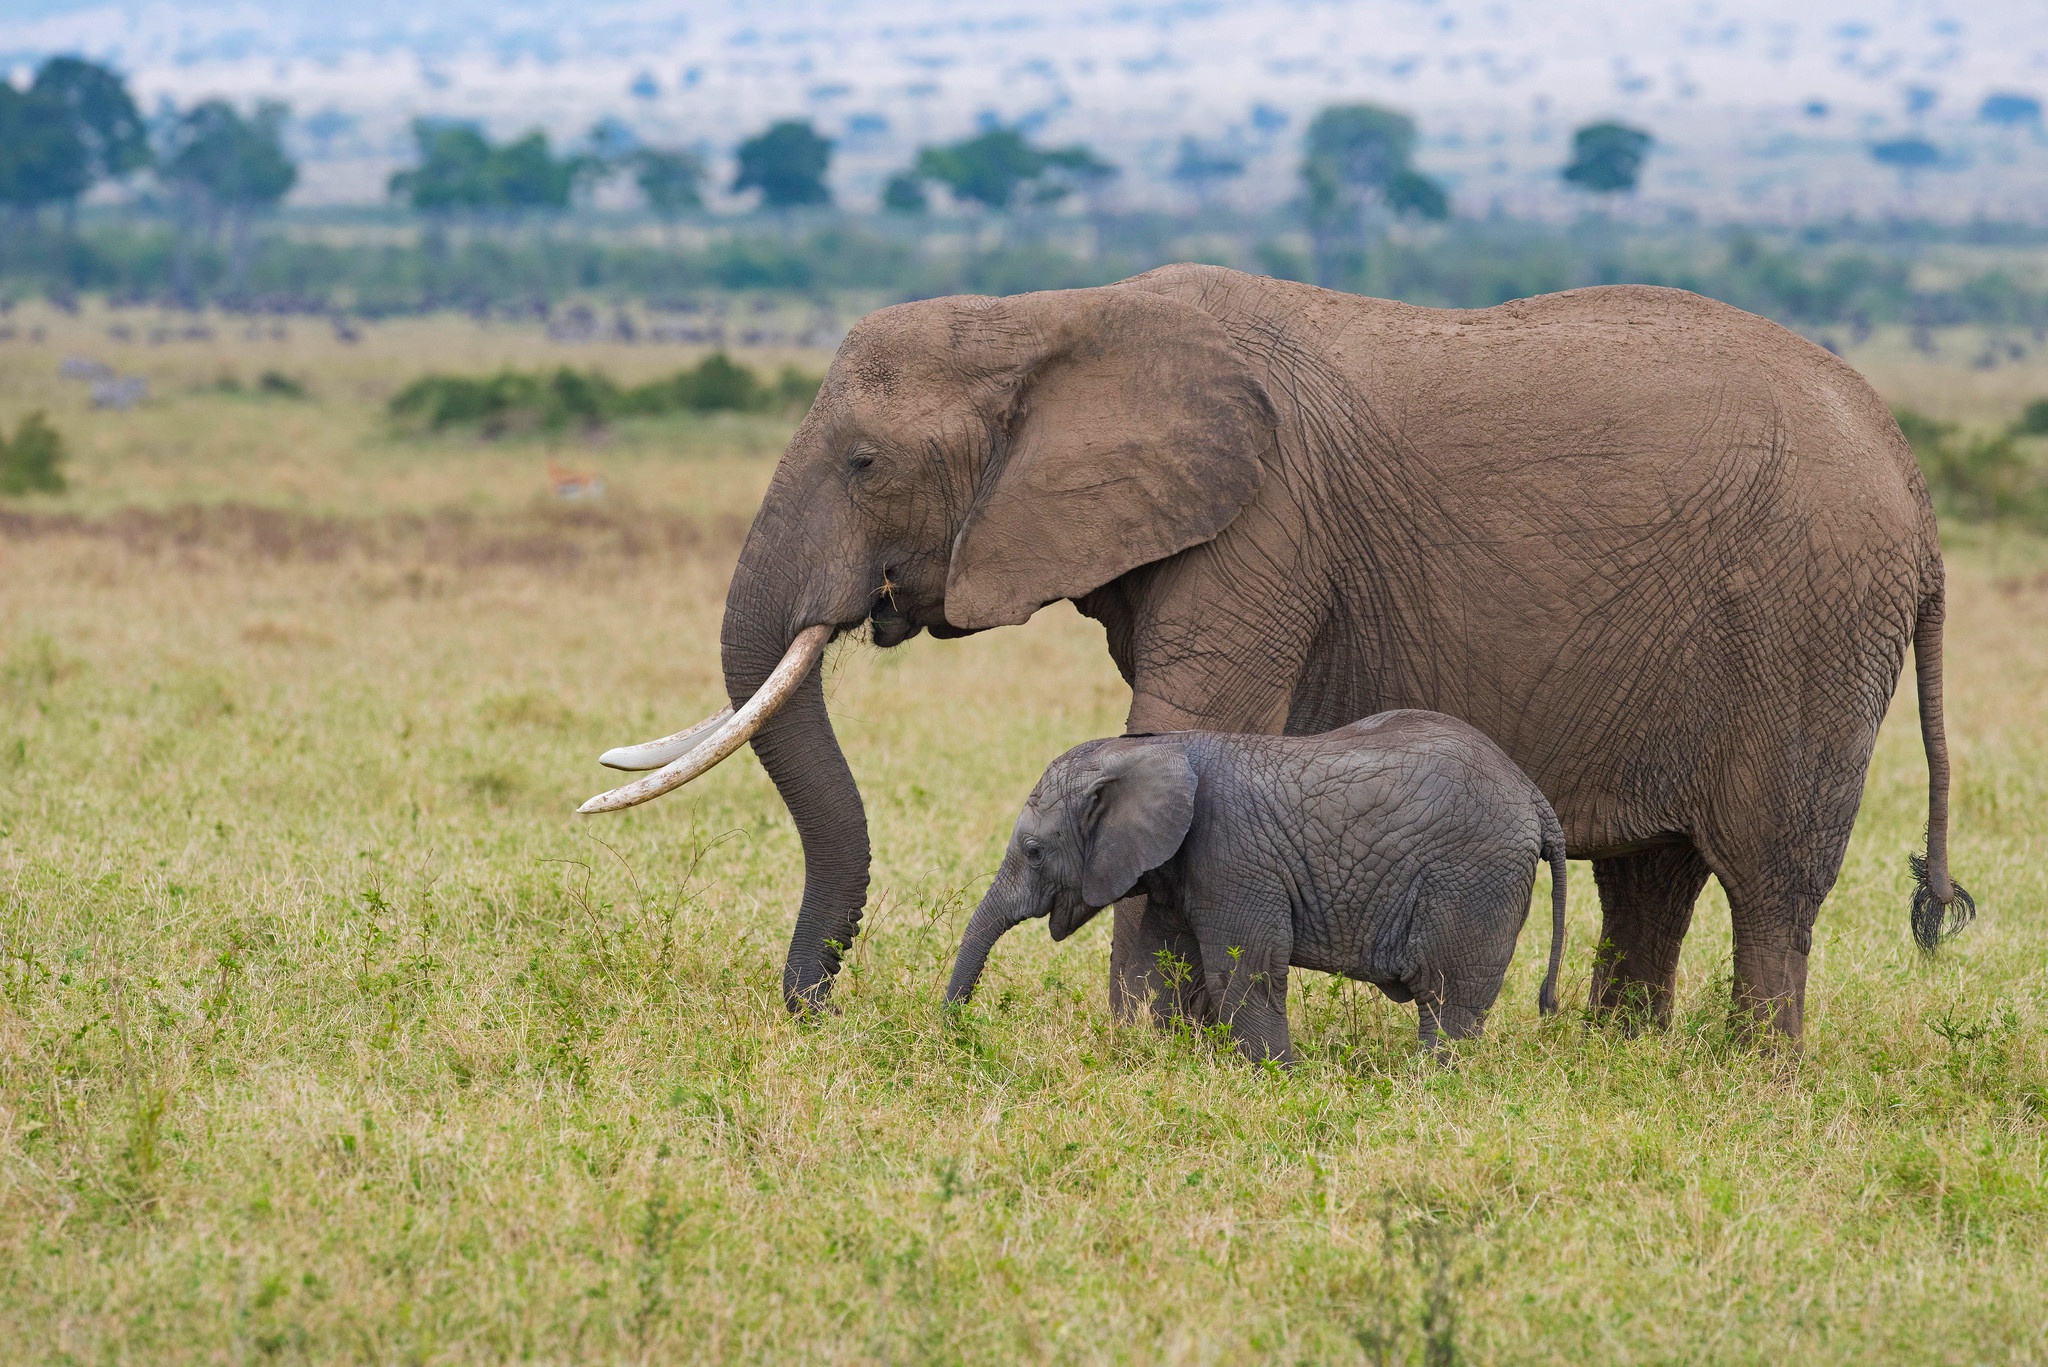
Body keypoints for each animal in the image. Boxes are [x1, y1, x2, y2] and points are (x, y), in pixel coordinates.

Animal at [942, 713, 1564, 1065]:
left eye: (1033, 851)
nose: (952, 1033)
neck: (1154, 749)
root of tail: (1533, 793)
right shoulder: (1183, 865)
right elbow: (1159, 963)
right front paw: (1158, 1056)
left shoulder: (1232, 857)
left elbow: (1245, 967)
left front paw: (1278, 1077)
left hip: (1473, 877)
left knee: (1448, 994)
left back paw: (1427, 1082)